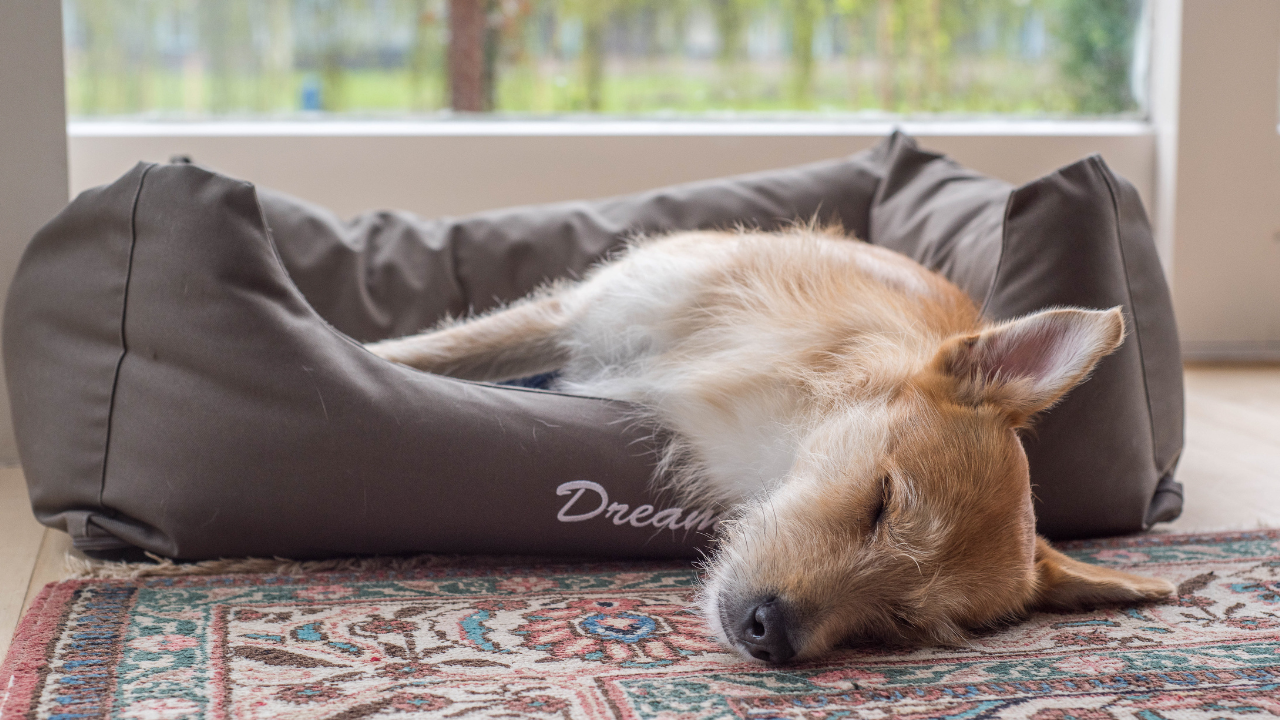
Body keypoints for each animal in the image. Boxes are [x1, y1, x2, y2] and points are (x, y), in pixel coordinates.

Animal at [366, 226, 1172, 661]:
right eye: (883, 503)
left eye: (901, 622)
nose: (771, 634)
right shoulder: (580, 317)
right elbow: (421, 354)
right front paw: (358, 356)